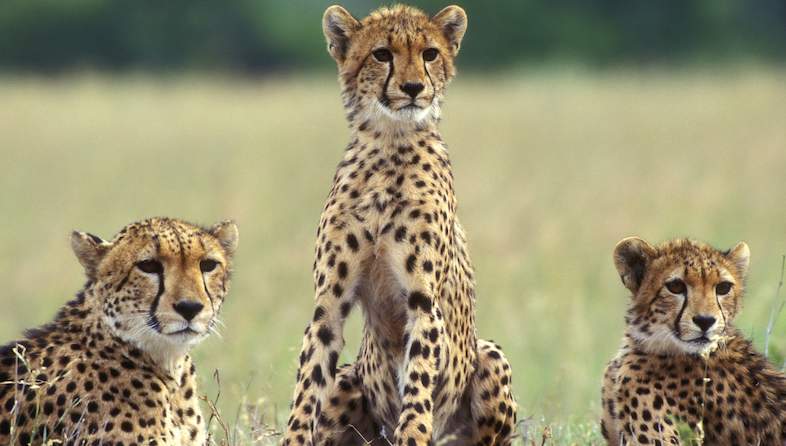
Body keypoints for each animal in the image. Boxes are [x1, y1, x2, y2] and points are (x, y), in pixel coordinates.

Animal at [283, 4, 516, 446]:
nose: (412, 88)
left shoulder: (423, 303)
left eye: (430, 53)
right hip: (349, 380)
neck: (389, 143)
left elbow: (419, 378)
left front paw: (413, 432)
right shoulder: (329, 304)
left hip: (490, 357)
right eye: (381, 54)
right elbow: (309, 379)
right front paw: (294, 435)